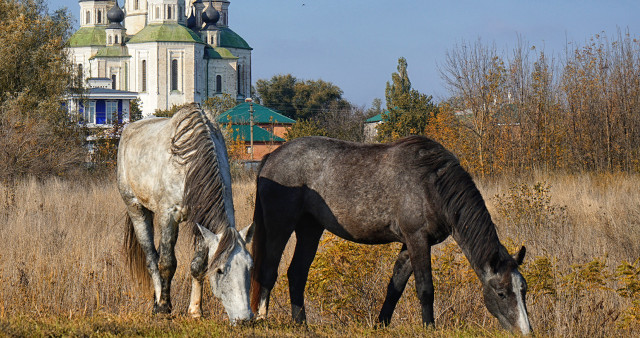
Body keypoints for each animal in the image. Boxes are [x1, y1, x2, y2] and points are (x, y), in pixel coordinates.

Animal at [117, 103, 252, 322]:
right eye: (220, 270)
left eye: (250, 267)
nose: (244, 318)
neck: (190, 165)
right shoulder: (168, 216)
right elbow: (167, 263)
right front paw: (164, 307)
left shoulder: (202, 222)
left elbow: (198, 265)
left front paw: (195, 310)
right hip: (136, 209)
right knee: (152, 259)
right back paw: (158, 304)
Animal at [251, 136, 536, 334]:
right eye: (501, 293)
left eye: (524, 290)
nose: (526, 331)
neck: (430, 184)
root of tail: (271, 157)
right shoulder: (418, 240)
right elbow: (425, 289)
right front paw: (429, 328)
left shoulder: (410, 245)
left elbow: (395, 287)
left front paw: (381, 324)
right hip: (280, 226)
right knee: (269, 270)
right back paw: (262, 318)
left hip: (310, 228)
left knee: (297, 273)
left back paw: (302, 325)